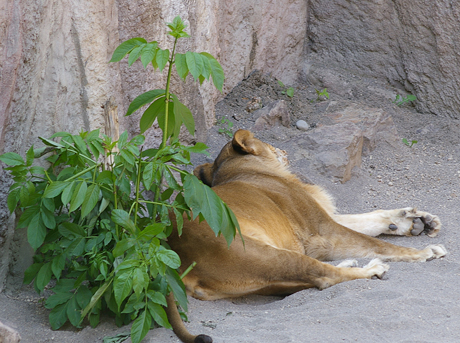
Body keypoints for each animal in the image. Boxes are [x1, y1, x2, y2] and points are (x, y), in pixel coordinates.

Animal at [164, 130, 446, 343]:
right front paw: (424, 251)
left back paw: (353, 262)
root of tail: (172, 252)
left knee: (303, 281)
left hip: (259, 275)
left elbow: (370, 219)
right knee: (323, 276)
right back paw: (372, 269)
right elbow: (375, 242)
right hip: (266, 254)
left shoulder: (324, 221)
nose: (283, 150)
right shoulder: (322, 232)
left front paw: (418, 221)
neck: (240, 170)